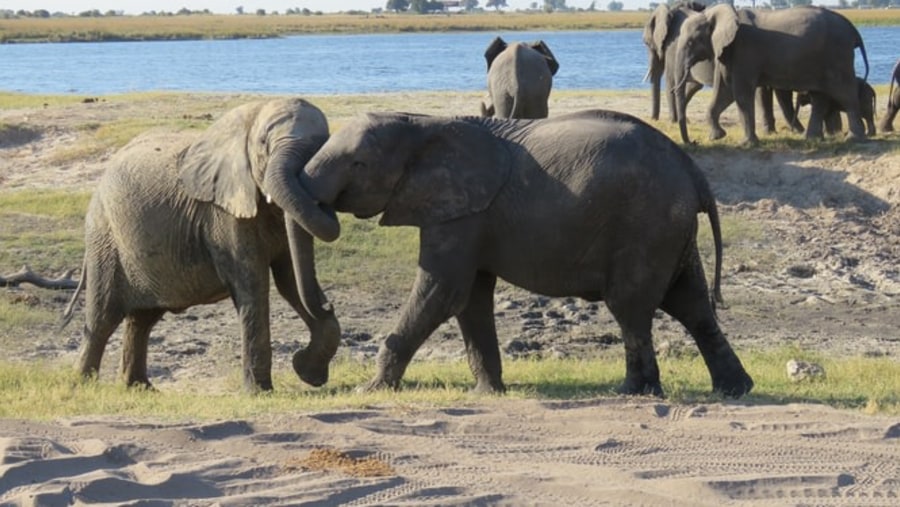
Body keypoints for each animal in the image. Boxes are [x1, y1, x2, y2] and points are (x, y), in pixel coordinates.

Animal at [59, 99, 342, 392]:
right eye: (264, 143)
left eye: (322, 147)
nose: (329, 306)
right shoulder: (223, 213)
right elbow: (253, 283)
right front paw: (261, 392)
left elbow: (291, 280)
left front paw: (307, 373)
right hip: (104, 235)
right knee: (102, 316)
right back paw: (82, 384)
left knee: (143, 318)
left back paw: (139, 388)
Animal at [680, 4, 868, 146]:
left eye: (690, 42)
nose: (695, 142)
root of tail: (853, 29)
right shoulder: (728, 52)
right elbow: (725, 91)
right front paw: (717, 137)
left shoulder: (744, 50)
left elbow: (740, 92)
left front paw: (746, 144)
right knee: (820, 97)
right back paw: (811, 139)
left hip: (838, 55)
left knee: (845, 94)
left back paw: (853, 139)